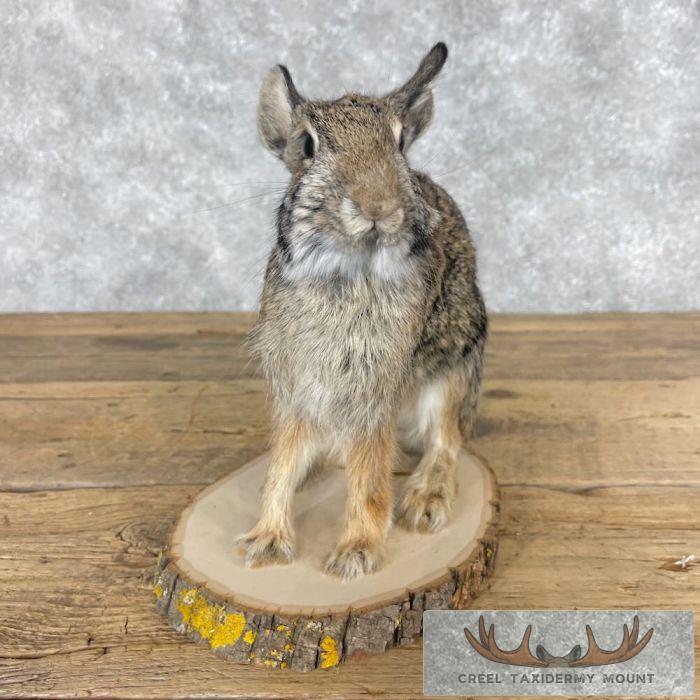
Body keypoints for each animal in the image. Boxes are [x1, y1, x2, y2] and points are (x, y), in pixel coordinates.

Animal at [237, 42, 487, 581]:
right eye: (308, 145)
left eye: (399, 143)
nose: (378, 206)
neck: (348, 269)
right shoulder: (298, 382)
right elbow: (283, 460)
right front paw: (264, 540)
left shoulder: (375, 386)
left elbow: (369, 475)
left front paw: (355, 552)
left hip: (455, 372)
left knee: (446, 441)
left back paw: (425, 501)